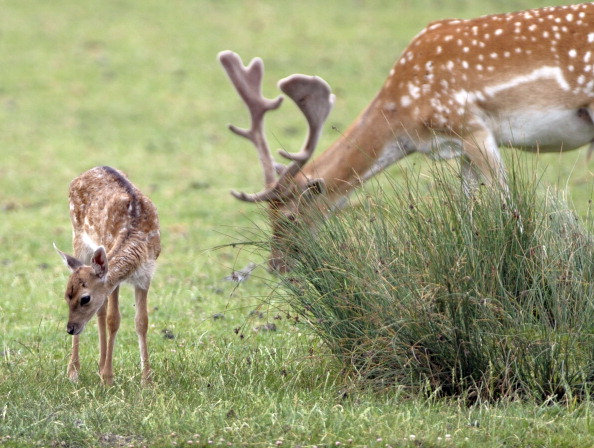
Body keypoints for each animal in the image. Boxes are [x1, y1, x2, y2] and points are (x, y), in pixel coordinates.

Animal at [54, 166, 161, 384]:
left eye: (85, 298)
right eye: (66, 297)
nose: (70, 328)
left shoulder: (146, 275)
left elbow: (142, 322)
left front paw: (147, 380)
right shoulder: (114, 282)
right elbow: (113, 320)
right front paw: (108, 378)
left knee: (100, 311)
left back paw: (99, 364)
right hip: (78, 240)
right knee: (103, 313)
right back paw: (74, 371)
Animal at [220, 3, 592, 272]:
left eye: (289, 217)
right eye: (267, 217)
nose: (276, 265)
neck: (405, 117)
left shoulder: (470, 125)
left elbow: (507, 208)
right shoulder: (460, 145)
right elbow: (468, 215)